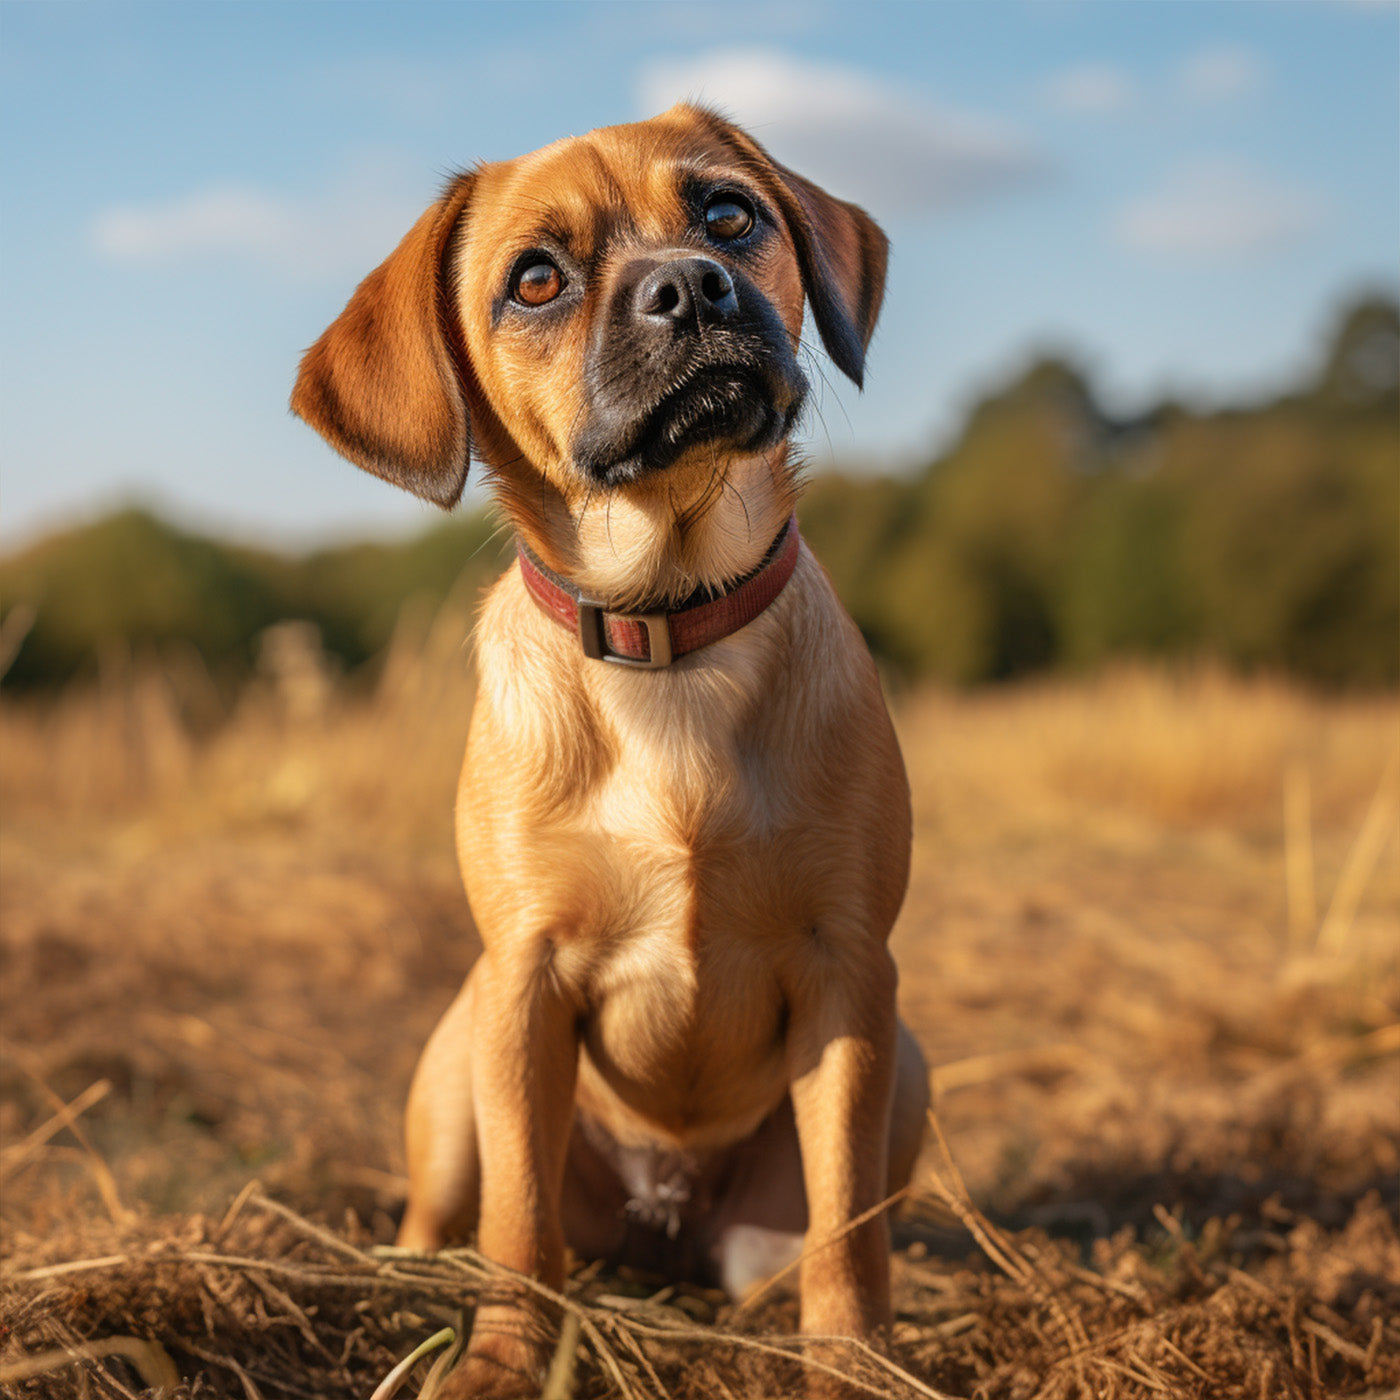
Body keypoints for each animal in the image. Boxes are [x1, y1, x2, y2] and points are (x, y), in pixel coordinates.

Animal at [292, 103, 929, 1394]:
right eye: (534, 280)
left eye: (728, 214)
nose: (690, 286)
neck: (668, 628)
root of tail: (661, 1229)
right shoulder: (525, 979)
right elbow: (517, 1222)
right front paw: (501, 1357)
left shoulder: (849, 977)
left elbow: (847, 1230)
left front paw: (850, 1361)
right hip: (457, 1053)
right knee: (452, 1215)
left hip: (907, 1067)